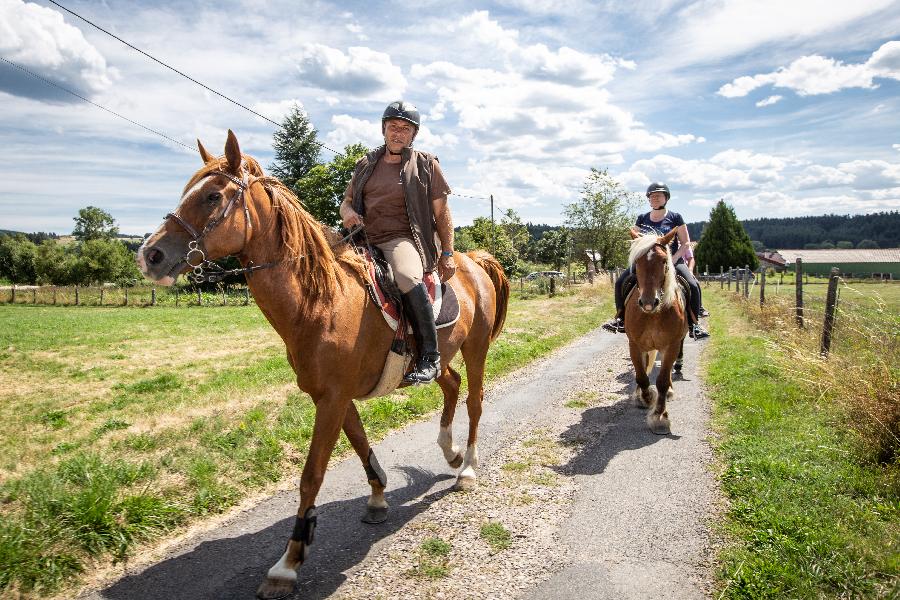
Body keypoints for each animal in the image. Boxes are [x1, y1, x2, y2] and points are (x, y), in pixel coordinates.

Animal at [136, 130, 509, 599]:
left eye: (212, 196)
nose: (149, 254)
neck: (321, 302)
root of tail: (473, 260)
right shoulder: (332, 397)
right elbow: (361, 443)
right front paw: (377, 498)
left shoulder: (332, 400)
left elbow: (311, 475)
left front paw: (288, 562)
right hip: (438, 359)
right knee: (452, 385)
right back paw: (451, 451)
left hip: (476, 349)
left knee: (474, 401)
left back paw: (469, 468)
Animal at [623, 228, 689, 435]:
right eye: (637, 262)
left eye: (664, 261)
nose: (648, 302)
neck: (653, 314)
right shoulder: (634, 344)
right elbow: (642, 376)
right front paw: (645, 398)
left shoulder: (671, 345)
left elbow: (662, 381)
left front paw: (660, 417)